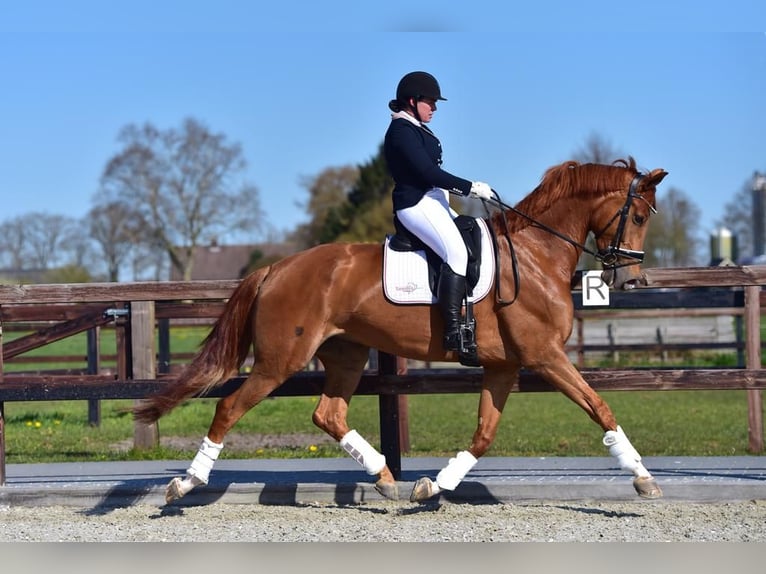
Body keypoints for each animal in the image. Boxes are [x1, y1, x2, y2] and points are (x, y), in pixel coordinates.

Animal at [135, 156, 668, 504]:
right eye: (639, 215)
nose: (632, 280)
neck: (536, 255)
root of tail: (275, 268)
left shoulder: (504, 365)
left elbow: (483, 435)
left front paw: (434, 484)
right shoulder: (545, 356)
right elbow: (600, 407)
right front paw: (643, 478)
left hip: (346, 354)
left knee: (328, 414)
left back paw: (386, 477)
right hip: (278, 362)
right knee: (229, 407)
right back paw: (185, 484)